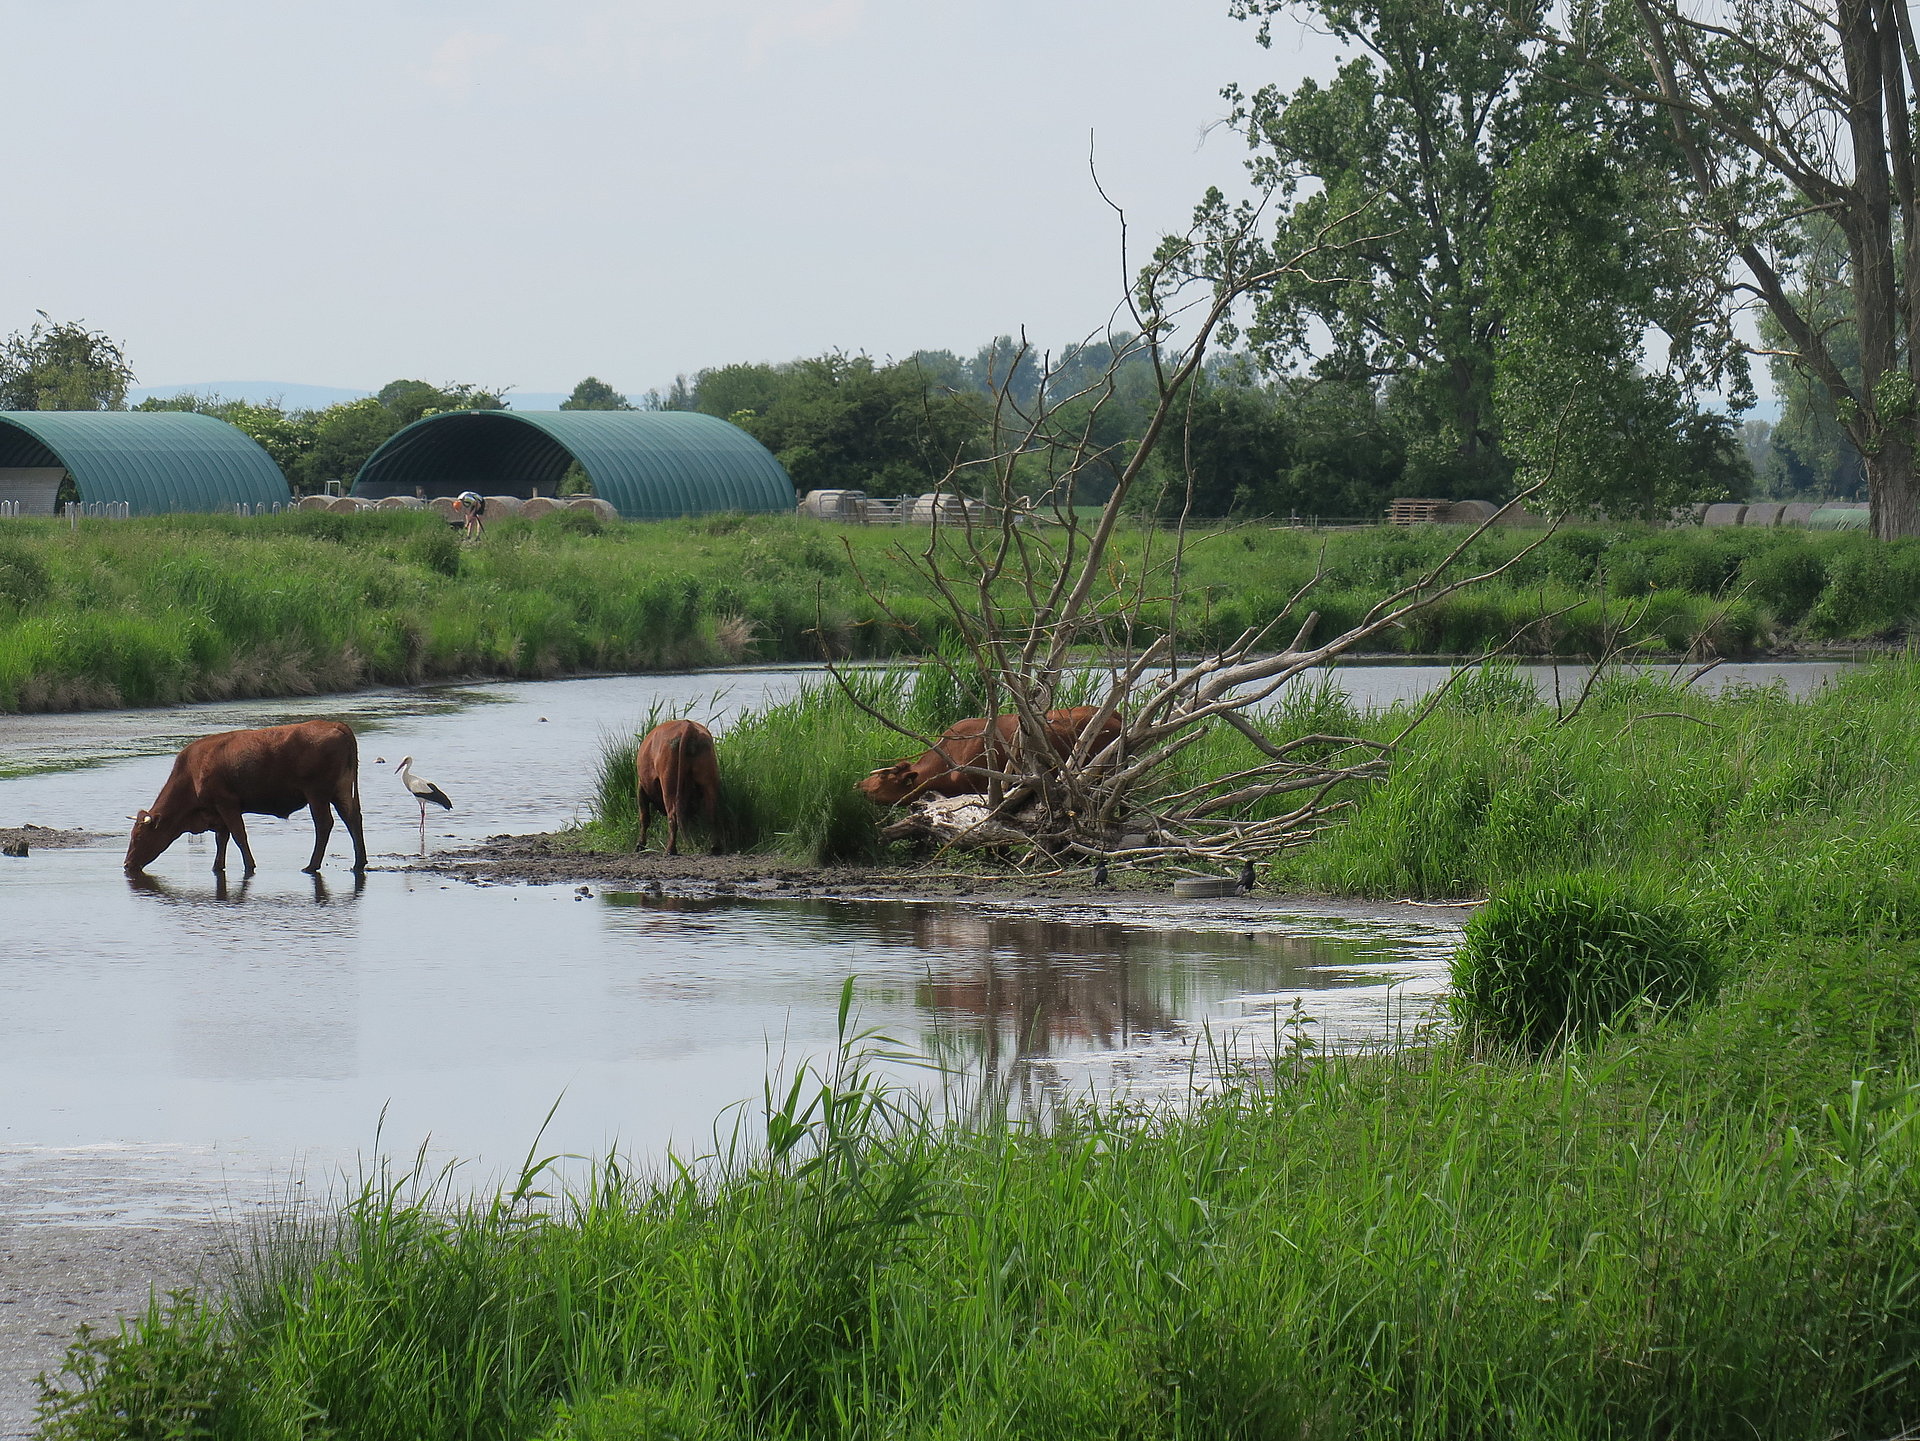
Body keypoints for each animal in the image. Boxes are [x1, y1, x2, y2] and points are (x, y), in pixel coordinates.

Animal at [127, 721, 370, 878]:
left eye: (138, 836)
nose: (127, 864)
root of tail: (335, 724)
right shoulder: (218, 812)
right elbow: (222, 839)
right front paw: (217, 867)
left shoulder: (227, 804)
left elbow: (238, 835)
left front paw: (249, 866)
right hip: (340, 791)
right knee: (352, 819)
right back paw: (359, 863)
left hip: (317, 794)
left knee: (324, 824)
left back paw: (311, 866)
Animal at [637, 721, 721, 855]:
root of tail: (688, 726)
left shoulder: (641, 787)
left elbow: (644, 818)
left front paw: (640, 845)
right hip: (709, 781)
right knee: (712, 814)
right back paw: (716, 848)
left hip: (669, 785)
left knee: (673, 816)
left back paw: (670, 850)